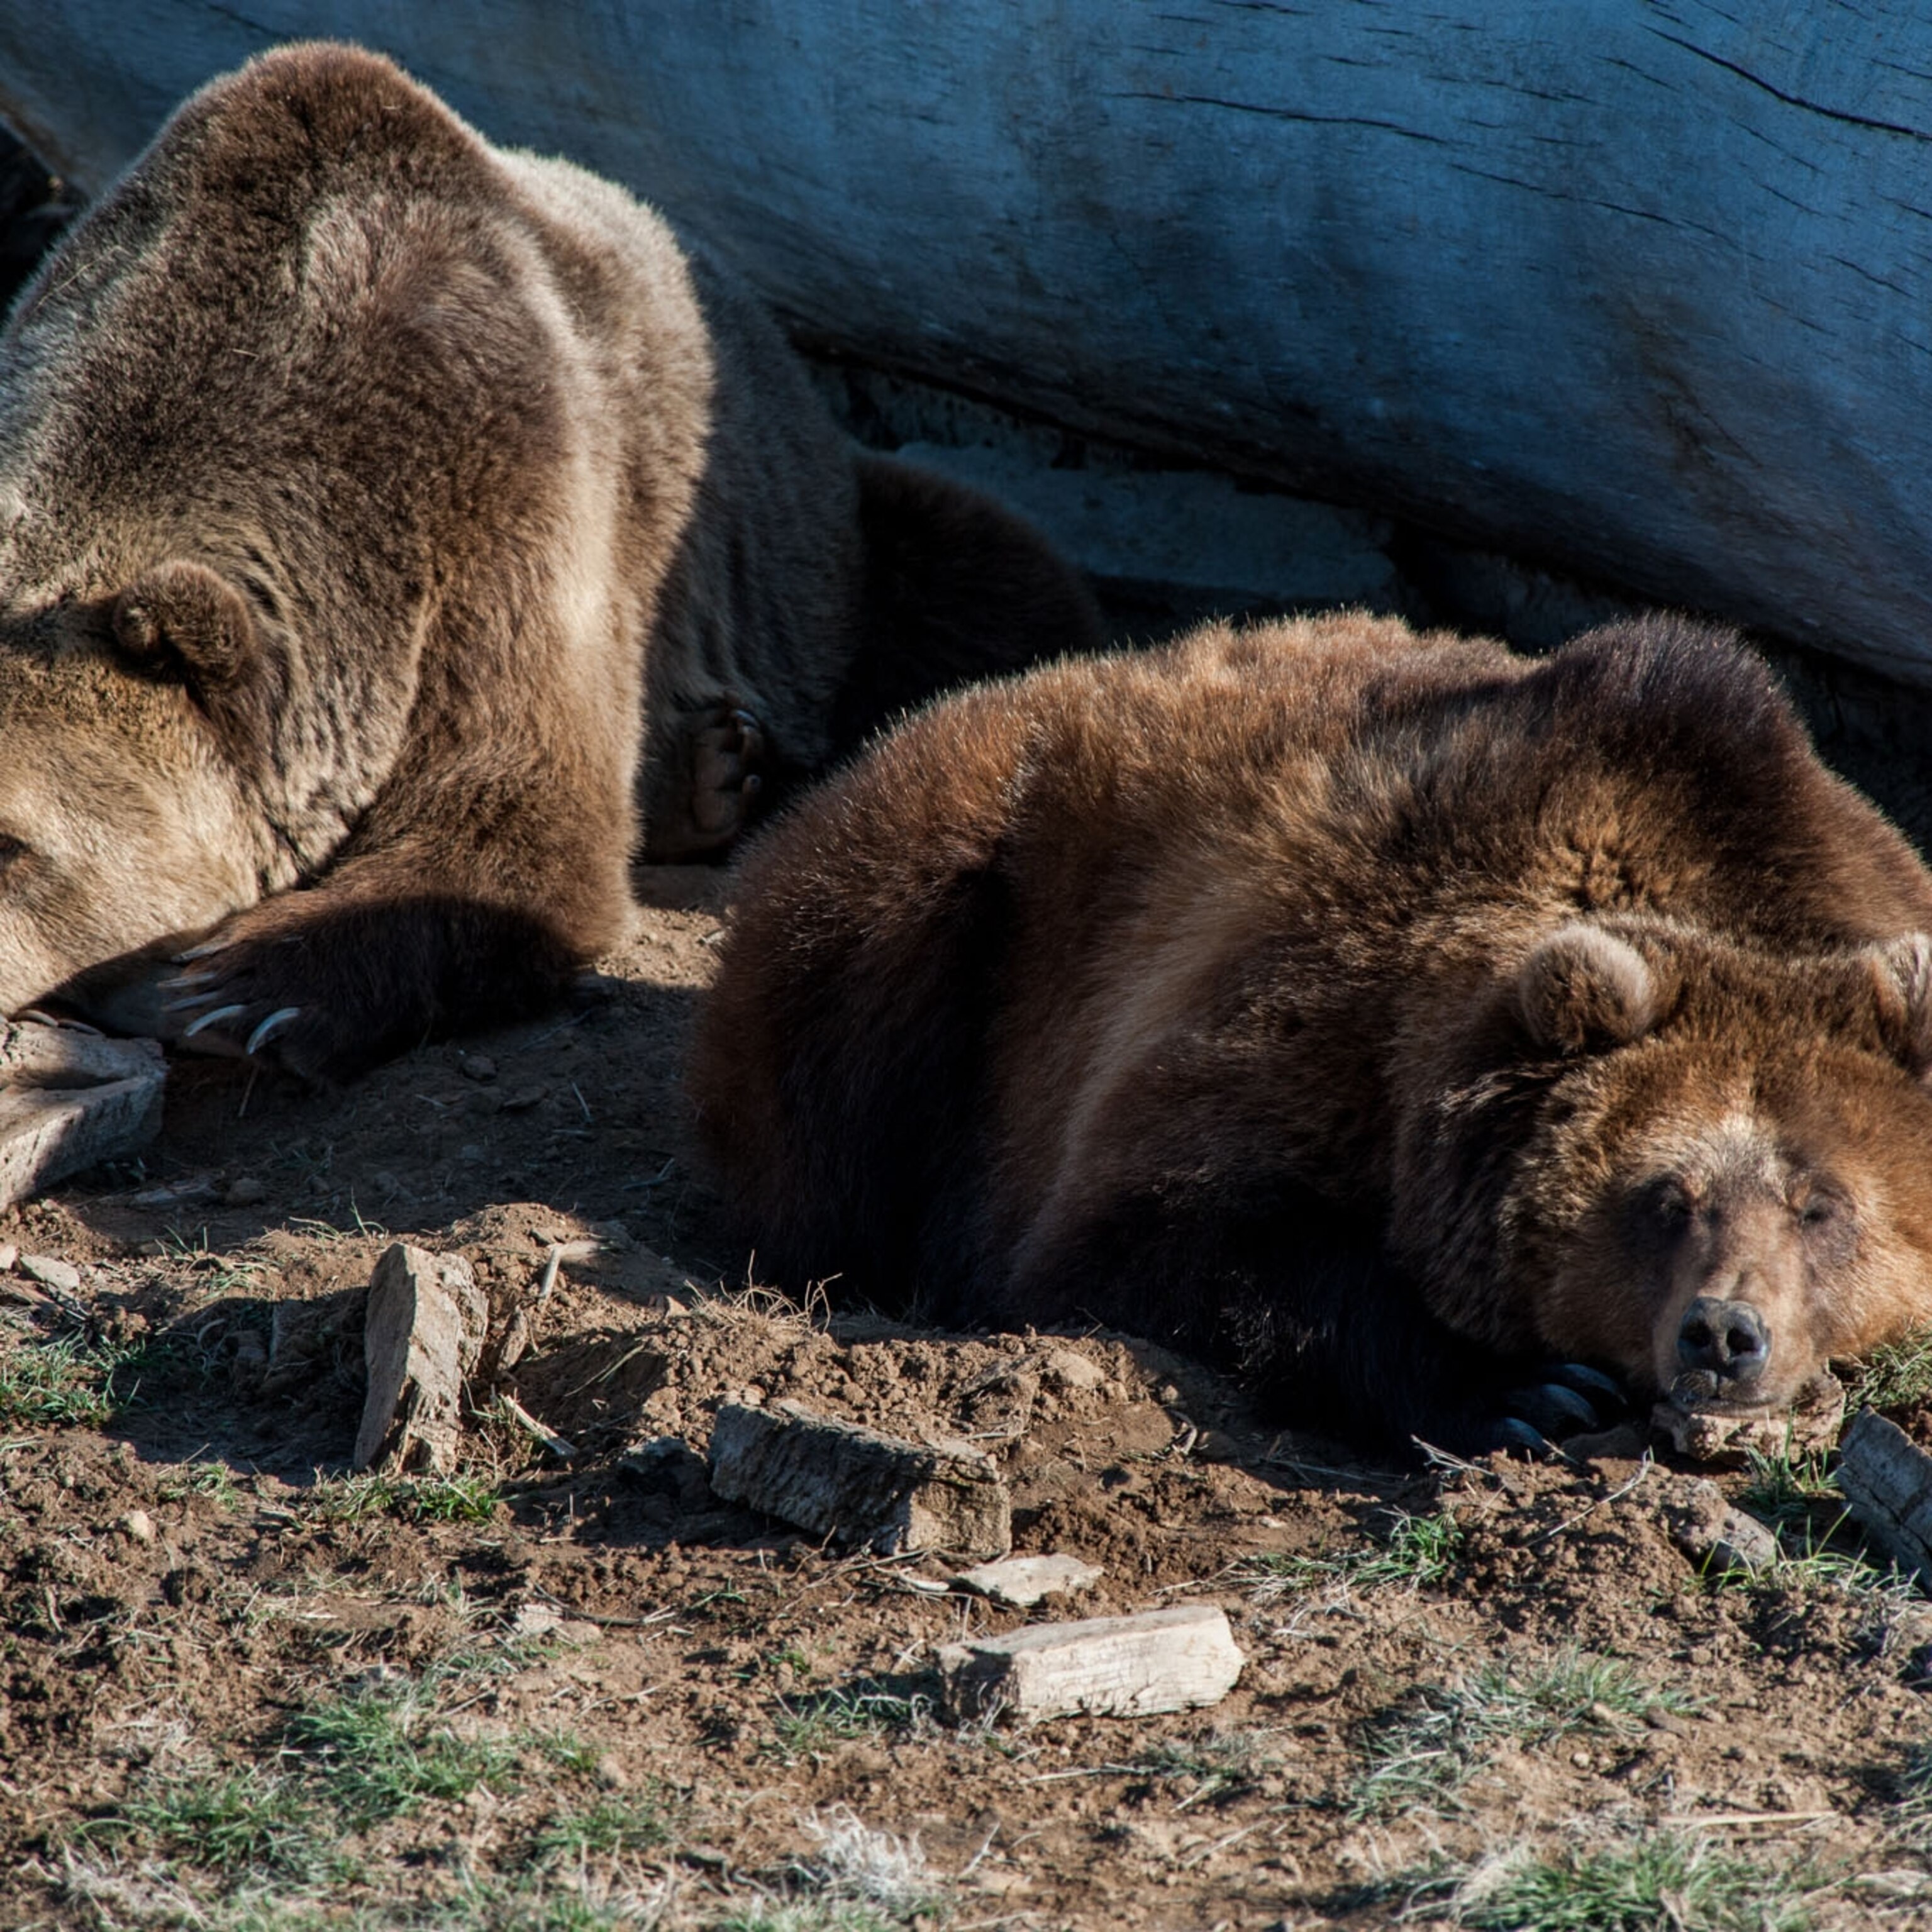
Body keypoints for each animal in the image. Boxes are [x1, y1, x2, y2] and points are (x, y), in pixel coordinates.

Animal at [0, 42, 1101, 1078]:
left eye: (16, 842)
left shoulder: (506, 488)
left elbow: (514, 815)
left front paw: (241, 989)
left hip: (824, 544)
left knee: (990, 581)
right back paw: (713, 772)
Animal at [689, 610, 1932, 1455]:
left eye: (1821, 1204)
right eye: (1662, 1197)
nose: (1722, 1332)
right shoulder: (1293, 1010)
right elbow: (1150, 1241)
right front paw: (1526, 1390)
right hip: (943, 897)